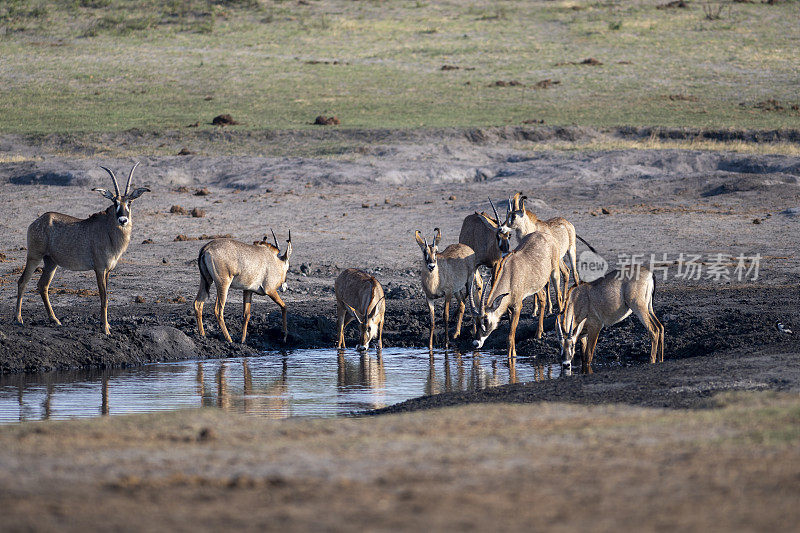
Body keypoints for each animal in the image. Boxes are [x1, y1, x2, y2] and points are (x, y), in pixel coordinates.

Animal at [14, 164, 149, 334]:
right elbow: (103, 297)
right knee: (22, 281)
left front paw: (106, 325)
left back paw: (54, 319)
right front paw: (105, 328)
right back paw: (18, 319)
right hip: (34, 256)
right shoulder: (99, 269)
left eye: (129, 202)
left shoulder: (108, 271)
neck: (108, 231)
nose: (123, 220)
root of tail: (38, 221)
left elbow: (106, 297)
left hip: (51, 262)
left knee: (42, 285)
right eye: (115, 202)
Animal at [468, 229, 564, 358]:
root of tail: (547, 236)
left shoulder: (517, 306)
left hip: (555, 272)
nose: (476, 343)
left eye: (486, 320)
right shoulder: (508, 306)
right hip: (537, 284)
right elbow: (511, 334)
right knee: (543, 297)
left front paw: (511, 356)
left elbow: (510, 337)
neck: (510, 274)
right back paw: (539, 333)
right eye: (475, 321)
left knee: (559, 295)